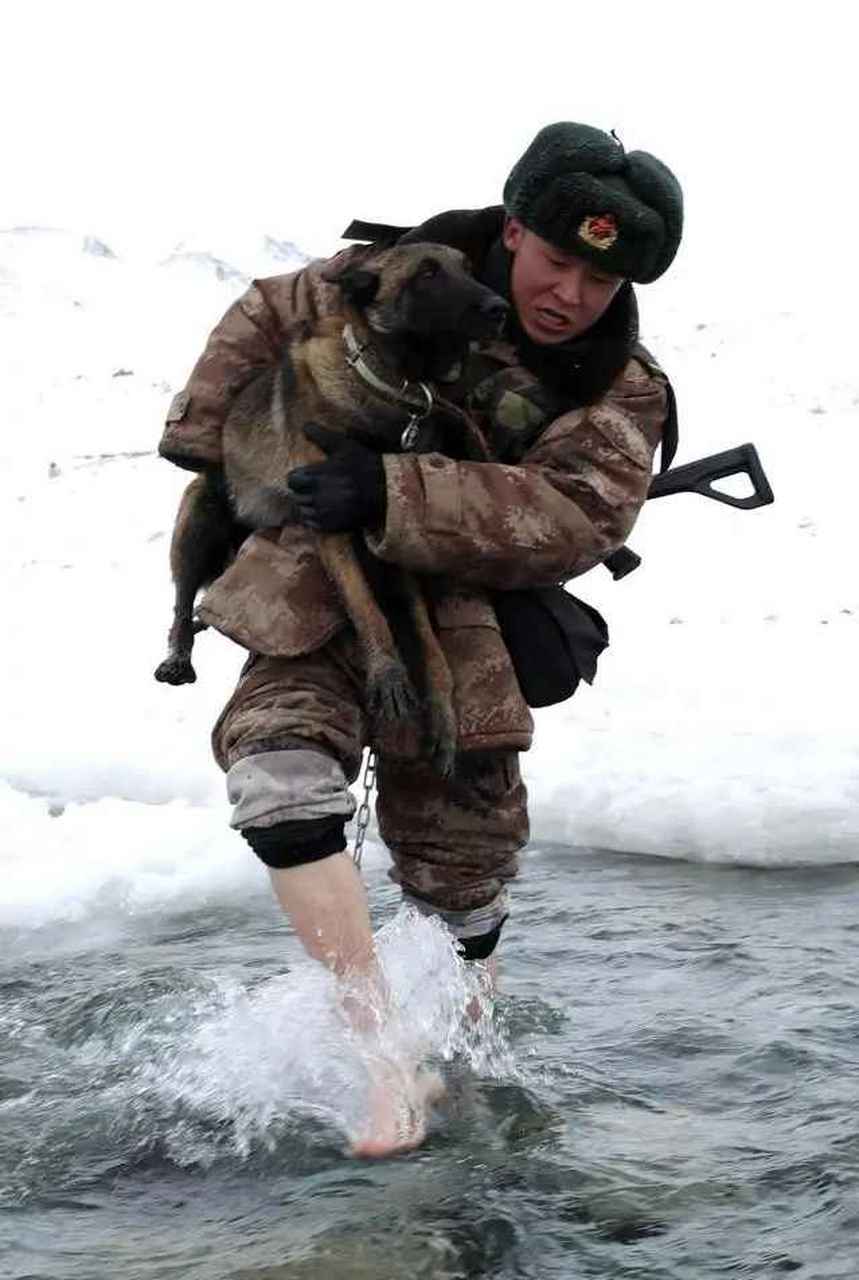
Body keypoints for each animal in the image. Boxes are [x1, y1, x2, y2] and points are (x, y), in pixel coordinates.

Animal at [154, 243, 506, 773]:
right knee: (181, 600)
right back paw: (177, 655)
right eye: (427, 273)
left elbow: (426, 636)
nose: (500, 307)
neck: (388, 388)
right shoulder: (327, 525)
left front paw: (442, 711)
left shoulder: (390, 532)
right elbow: (365, 606)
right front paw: (388, 673)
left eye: (467, 268)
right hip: (200, 520)